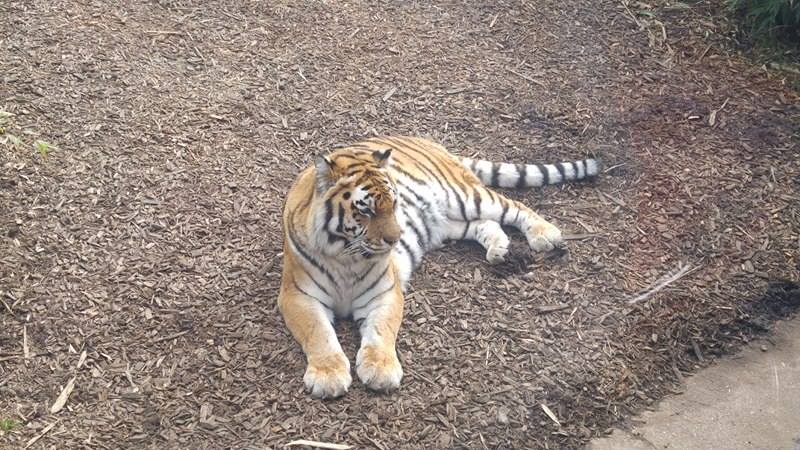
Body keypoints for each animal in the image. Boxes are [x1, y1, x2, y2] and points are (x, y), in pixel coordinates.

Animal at [278, 136, 599, 398]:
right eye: (365, 210)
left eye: (394, 204)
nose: (395, 238)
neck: (347, 255)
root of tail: (424, 140)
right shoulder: (298, 296)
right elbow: (319, 333)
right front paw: (329, 376)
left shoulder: (385, 292)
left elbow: (381, 329)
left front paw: (381, 370)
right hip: (448, 223)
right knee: (487, 224)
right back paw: (500, 252)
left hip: (465, 197)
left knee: (514, 207)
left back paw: (545, 234)